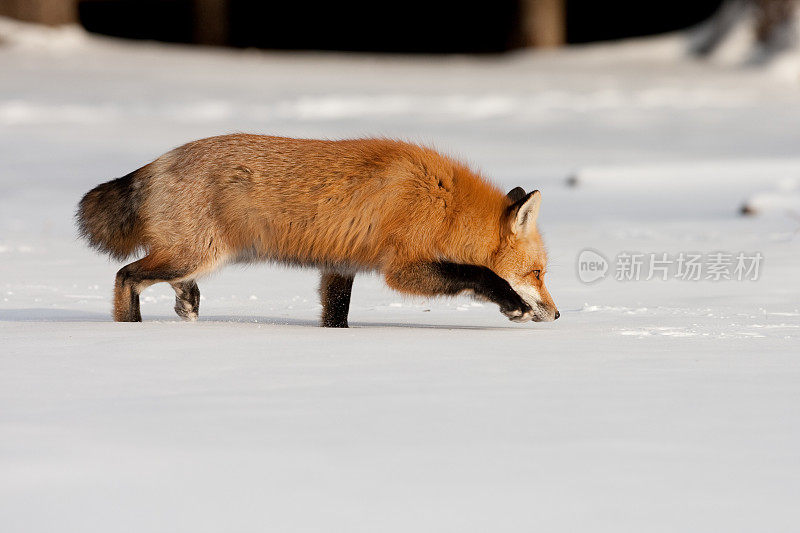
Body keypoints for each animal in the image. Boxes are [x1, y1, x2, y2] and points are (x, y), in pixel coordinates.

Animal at [78, 134, 560, 324]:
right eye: (537, 274)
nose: (557, 314)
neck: (444, 204)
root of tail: (158, 162)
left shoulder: (340, 266)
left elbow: (335, 315)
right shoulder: (402, 268)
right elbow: (478, 275)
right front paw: (512, 304)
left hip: (192, 256)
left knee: (168, 281)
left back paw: (186, 305)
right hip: (196, 253)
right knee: (126, 276)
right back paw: (132, 330)